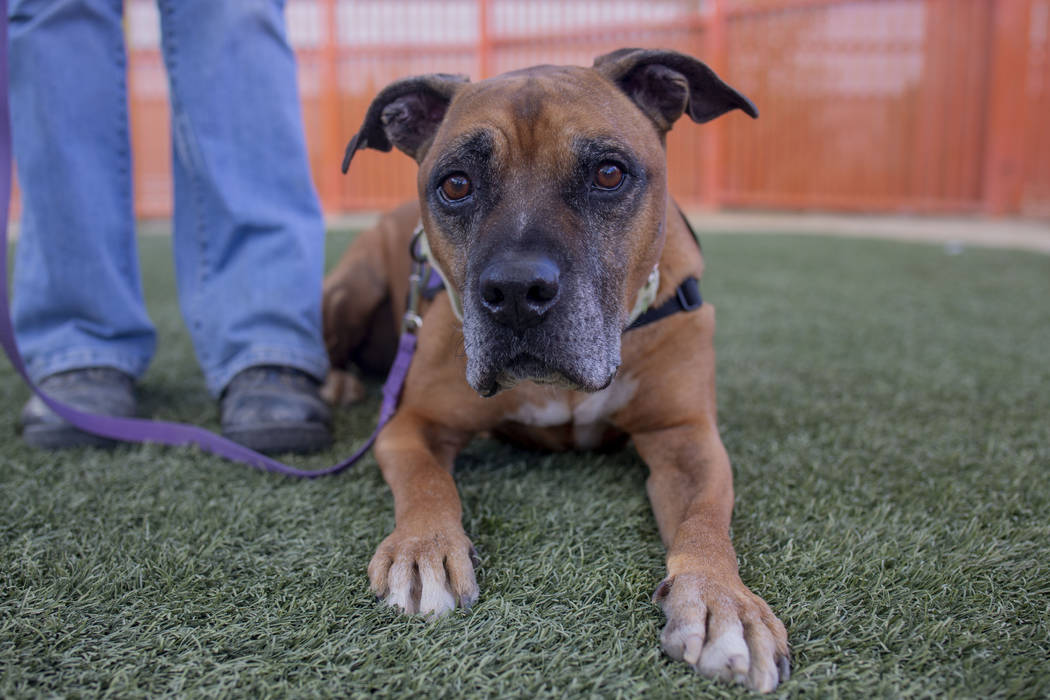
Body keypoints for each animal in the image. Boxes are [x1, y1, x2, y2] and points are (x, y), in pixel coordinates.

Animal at [323, 50, 789, 696]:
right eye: (456, 184)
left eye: (609, 174)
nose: (517, 291)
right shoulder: (410, 423)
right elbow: (427, 481)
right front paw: (424, 549)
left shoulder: (686, 438)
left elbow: (704, 522)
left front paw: (725, 604)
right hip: (351, 289)